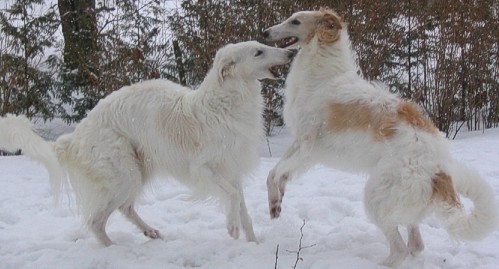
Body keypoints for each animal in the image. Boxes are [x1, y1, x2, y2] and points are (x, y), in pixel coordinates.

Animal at [0, 40, 296, 245]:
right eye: (258, 52)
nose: (292, 53)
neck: (220, 105)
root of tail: (73, 138)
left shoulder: (232, 170)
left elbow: (244, 210)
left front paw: (253, 244)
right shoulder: (203, 168)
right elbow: (233, 198)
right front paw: (232, 229)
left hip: (137, 171)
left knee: (125, 208)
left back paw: (150, 231)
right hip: (124, 173)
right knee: (96, 221)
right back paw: (114, 248)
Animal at [264, 8, 498, 266]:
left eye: (295, 21)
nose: (265, 32)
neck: (323, 73)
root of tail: (440, 172)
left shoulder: (307, 144)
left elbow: (275, 173)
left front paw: (275, 203)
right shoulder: (300, 145)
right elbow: (275, 173)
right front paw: (277, 201)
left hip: (376, 196)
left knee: (401, 249)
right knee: (416, 245)